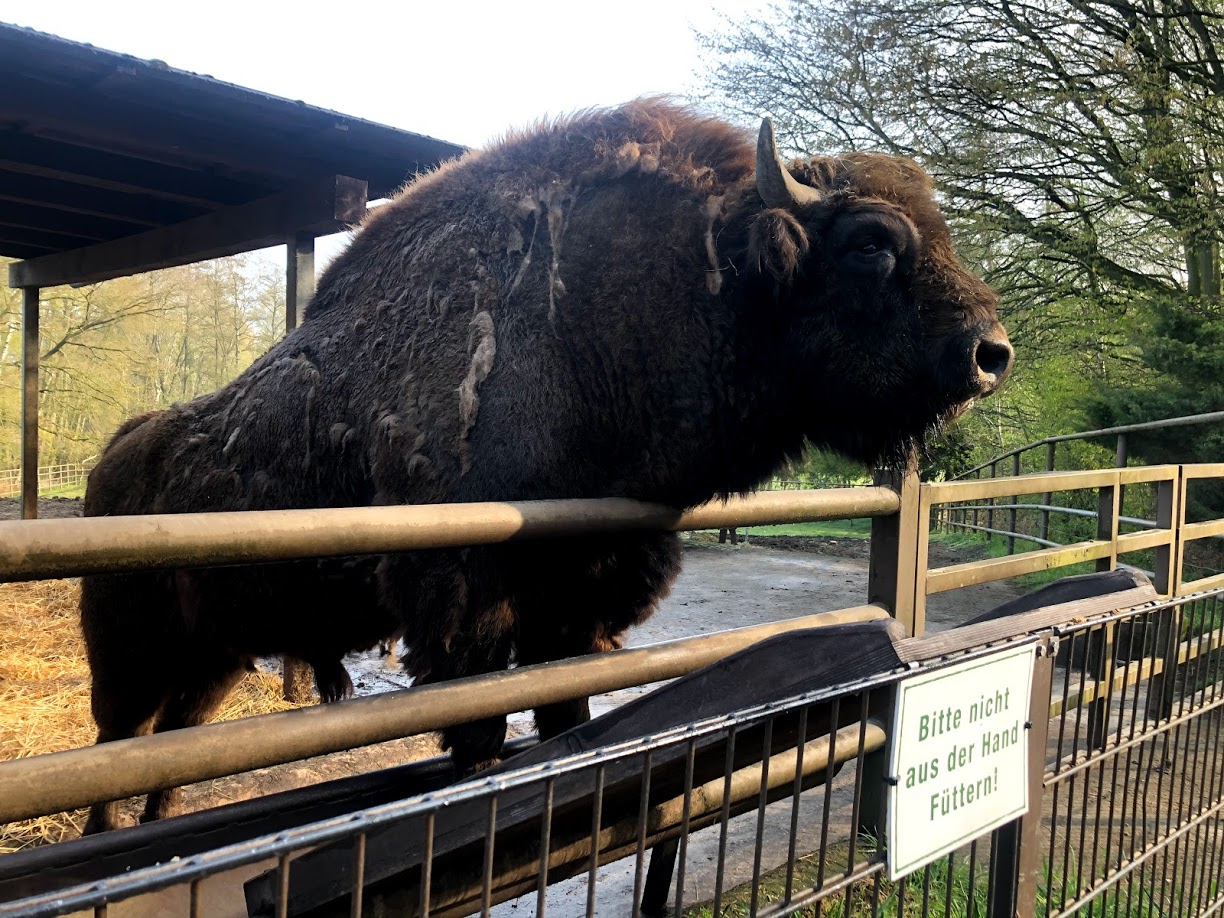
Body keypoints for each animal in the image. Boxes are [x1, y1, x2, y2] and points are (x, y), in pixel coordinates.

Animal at [79, 99, 1011, 833]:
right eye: (870, 243)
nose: (989, 355)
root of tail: (110, 459)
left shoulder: (581, 605)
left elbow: (567, 719)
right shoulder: (467, 615)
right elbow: (480, 736)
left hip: (213, 658)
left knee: (166, 756)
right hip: (129, 656)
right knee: (115, 754)